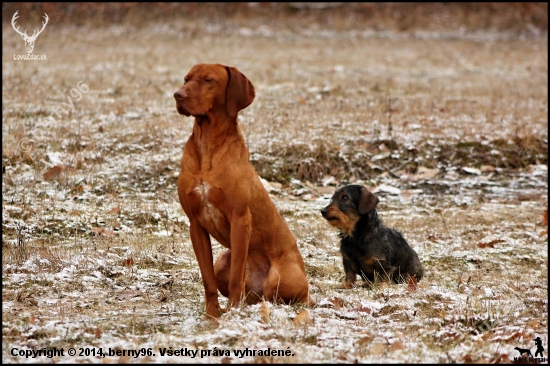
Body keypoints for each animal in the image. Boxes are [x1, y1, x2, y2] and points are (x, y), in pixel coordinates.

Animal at [175, 64, 310, 318]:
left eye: (208, 80)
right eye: (186, 79)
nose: (178, 95)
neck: (208, 145)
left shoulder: (239, 220)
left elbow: (237, 276)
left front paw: (231, 312)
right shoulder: (196, 225)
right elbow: (207, 280)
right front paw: (212, 314)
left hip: (280, 277)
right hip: (222, 261)